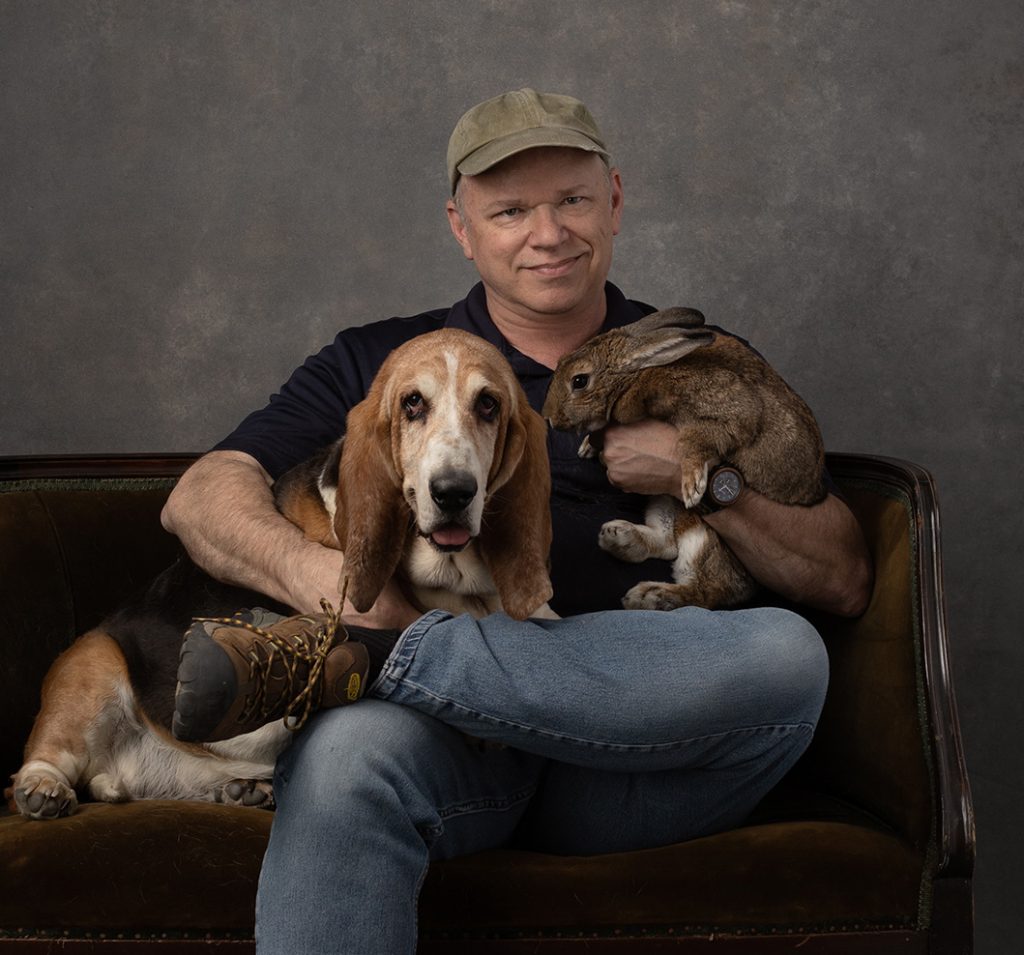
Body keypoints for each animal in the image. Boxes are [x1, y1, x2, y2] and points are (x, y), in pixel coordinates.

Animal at [544, 309, 823, 605]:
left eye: (579, 381)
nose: (548, 418)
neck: (637, 376)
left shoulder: (724, 415)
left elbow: (697, 442)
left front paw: (693, 486)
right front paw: (587, 446)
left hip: (707, 540)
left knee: (707, 590)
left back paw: (649, 595)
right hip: (664, 502)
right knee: (668, 544)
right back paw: (618, 537)